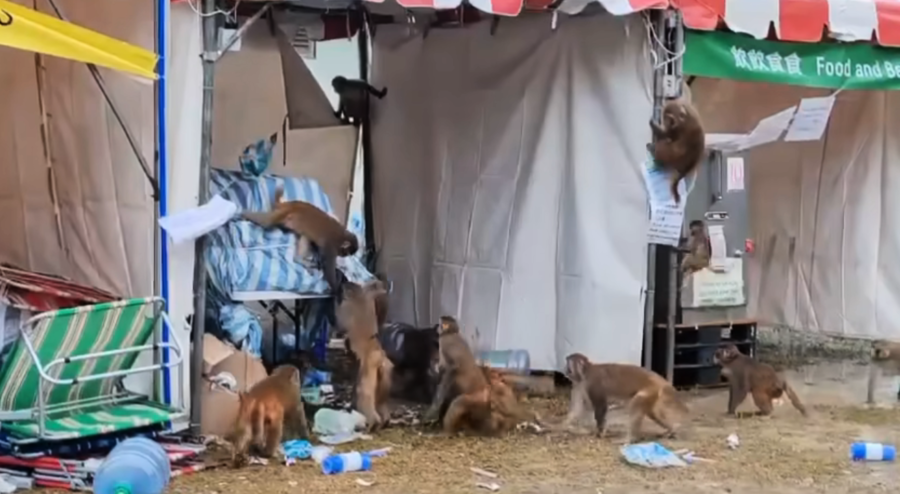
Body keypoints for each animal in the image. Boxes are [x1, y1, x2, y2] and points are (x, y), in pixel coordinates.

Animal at [338, 282, 394, 432]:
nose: (344, 283)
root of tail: (380, 359)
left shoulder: (347, 306)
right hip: (384, 384)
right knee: (381, 405)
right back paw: (384, 422)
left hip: (366, 381)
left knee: (367, 402)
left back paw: (371, 425)